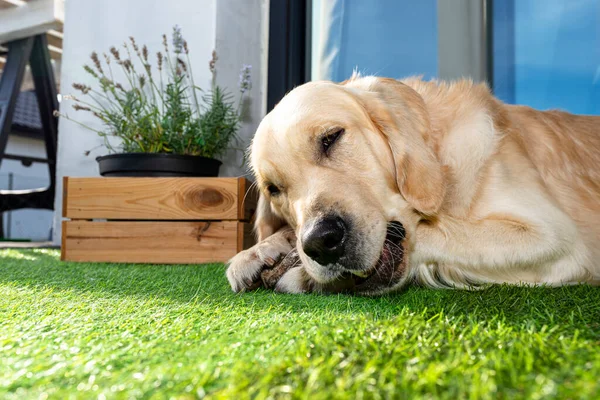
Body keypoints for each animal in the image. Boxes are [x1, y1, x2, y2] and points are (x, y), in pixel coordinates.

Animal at [226, 73, 600, 296]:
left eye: (331, 138)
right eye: (274, 189)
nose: (320, 242)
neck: (442, 165)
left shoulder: (555, 238)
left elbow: (434, 232)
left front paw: (298, 273)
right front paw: (258, 252)